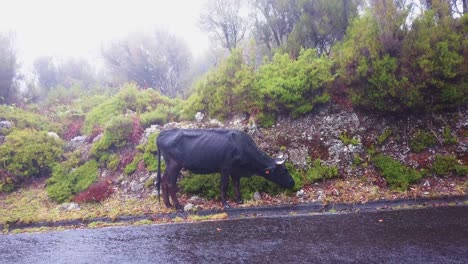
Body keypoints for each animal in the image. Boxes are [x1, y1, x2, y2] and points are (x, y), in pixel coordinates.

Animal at [158, 128, 296, 210]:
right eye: (284, 171)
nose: (292, 182)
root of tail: (163, 133)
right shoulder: (225, 168)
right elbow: (224, 186)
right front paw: (226, 204)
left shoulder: (236, 170)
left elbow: (236, 184)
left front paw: (239, 199)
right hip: (174, 165)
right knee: (170, 183)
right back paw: (177, 206)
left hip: (169, 164)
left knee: (163, 181)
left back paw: (168, 205)